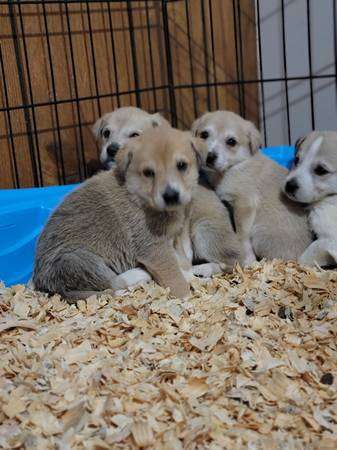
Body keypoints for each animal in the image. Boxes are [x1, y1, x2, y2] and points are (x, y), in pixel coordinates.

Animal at [33, 126, 207, 302]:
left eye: (181, 165)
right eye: (148, 172)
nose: (171, 195)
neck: (139, 196)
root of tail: (42, 282)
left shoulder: (172, 239)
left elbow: (181, 259)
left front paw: (189, 274)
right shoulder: (153, 249)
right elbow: (173, 274)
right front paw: (185, 296)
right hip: (79, 260)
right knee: (112, 283)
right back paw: (139, 274)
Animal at [190, 111, 312, 266]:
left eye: (231, 142)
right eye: (204, 135)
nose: (209, 157)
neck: (234, 166)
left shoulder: (244, 204)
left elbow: (241, 235)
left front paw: (246, 258)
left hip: (259, 233)